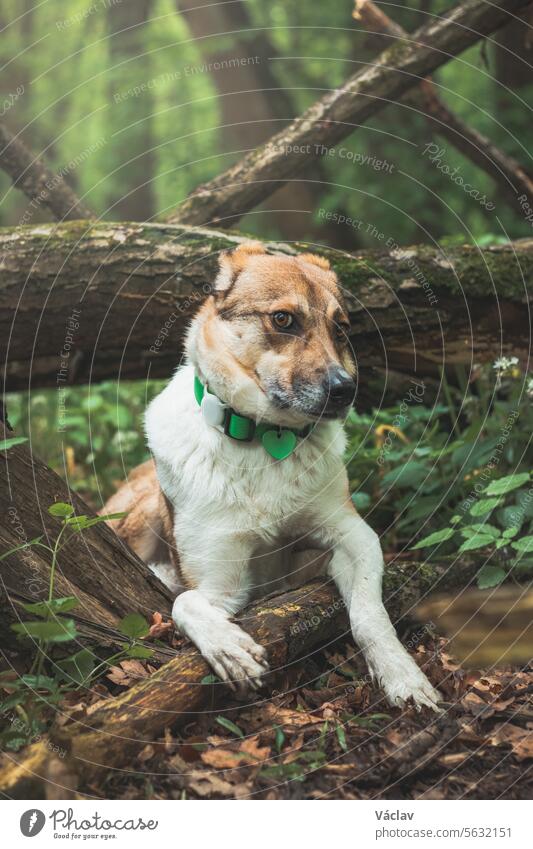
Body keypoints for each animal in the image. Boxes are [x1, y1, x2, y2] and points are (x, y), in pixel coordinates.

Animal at [104, 243, 440, 708]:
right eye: (283, 319)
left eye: (341, 328)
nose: (345, 390)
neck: (265, 438)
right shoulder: (220, 584)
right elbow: (184, 602)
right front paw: (230, 650)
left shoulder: (354, 536)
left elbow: (370, 613)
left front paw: (403, 676)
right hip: (136, 517)